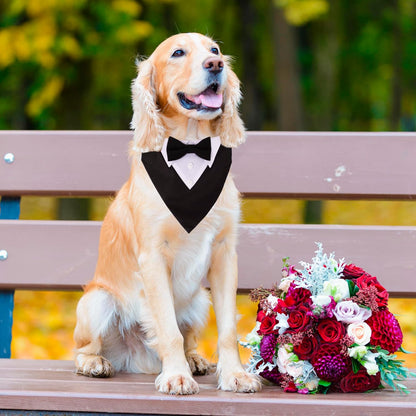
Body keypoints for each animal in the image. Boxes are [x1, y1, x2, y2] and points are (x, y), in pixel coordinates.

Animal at [72, 31, 260, 394]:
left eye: (214, 50)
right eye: (177, 53)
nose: (215, 65)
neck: (190, 150)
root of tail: (135, 359)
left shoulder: (224, 253)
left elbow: (227, 330)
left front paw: (234, 375)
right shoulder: (153, 256)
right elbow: (168, 330)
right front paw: (176, 376)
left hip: (200, 299)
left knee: (189, 338)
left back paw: (196, 360)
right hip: (96, 301)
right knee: (85, 347)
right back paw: (95, 363)